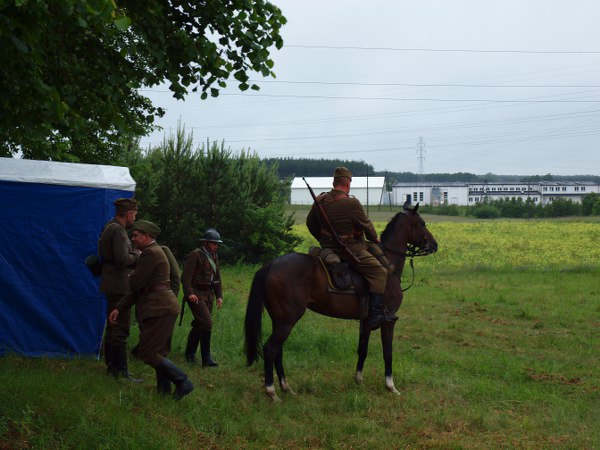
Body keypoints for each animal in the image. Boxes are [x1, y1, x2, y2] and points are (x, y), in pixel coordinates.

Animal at [244, 202, 438, 401]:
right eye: (421, 223)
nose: (434, 245)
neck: (387, 264)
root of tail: (270, 265)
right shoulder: (388, 320)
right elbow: (388, 353)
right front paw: (391, 386)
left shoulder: (366, 321)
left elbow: (363, 348)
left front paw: (359, 379)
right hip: (287, 321)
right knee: (270, 349)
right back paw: (272, 392)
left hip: (280, 321)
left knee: (278, 350)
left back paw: (285, 387)